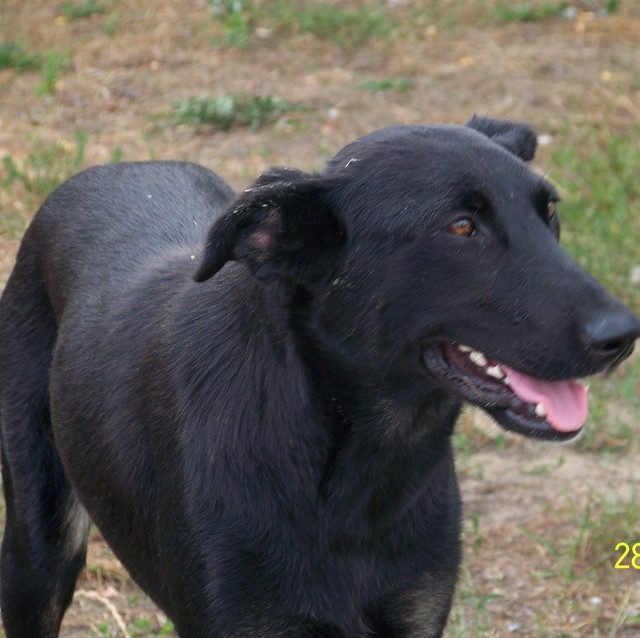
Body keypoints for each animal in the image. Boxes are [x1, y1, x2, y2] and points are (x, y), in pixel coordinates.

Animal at [0, 116, 636, 638]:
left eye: (549, 212)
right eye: (460, 227)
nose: (624, 335)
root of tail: (114, 168)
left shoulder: (414, 615)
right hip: (38, 551)